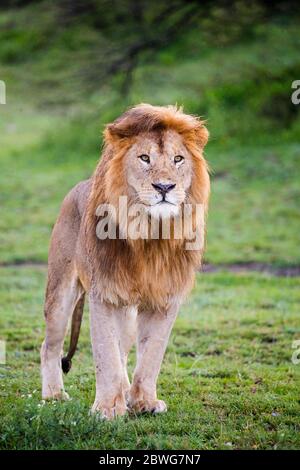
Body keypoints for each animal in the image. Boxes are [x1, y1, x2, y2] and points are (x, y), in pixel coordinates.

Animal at [41, 103, 210, 418]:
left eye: (178, 159)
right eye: (144, 158)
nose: (164, 187)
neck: (150, 235)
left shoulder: (165, 298)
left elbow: (151, 354)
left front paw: (144, 401)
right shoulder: (104, 294)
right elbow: (106, 353)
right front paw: (107, 408)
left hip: (128, 313)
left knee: (123, 351)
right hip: (60, 294)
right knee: (50, 345)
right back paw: (54, 395)